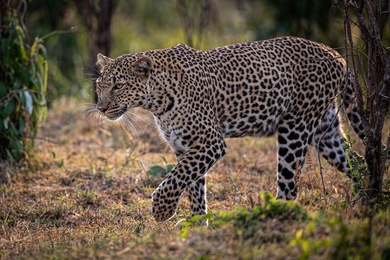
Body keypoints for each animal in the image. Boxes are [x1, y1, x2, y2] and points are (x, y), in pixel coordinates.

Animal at [94, 36, 362, 222]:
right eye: (100, 85)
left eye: (118, 86)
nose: (101, 107)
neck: (156, 101)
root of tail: (337, 55)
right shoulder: (185, 147)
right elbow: (193, 185)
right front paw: (197, 222)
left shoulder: (210, 142)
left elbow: (176, 178)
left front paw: (162, 210)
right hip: (325, 131)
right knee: (356, 161)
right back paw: (364, 200)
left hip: (295, 129)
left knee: (289, 187)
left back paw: (271, 215)